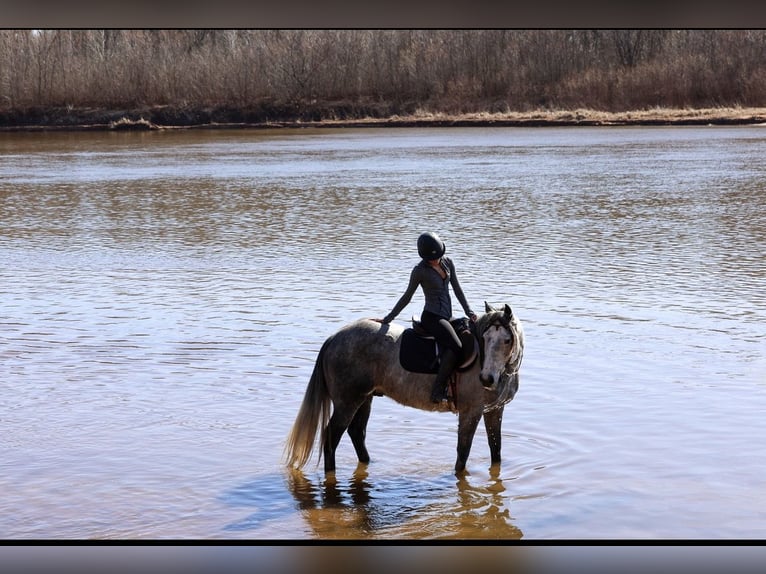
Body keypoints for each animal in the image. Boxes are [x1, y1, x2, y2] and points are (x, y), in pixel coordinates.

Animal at [284, 302, 524, 474]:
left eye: (506, 340)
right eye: (484, 338)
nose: (486, 379)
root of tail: (334, 338)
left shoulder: (494, 410)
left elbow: (496, 449)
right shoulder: (470, 412)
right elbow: (463, 453)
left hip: (365, 398)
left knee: (357, 433)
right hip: (347, 403)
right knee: (331, 437)